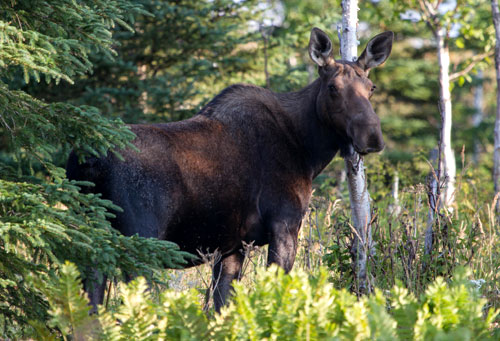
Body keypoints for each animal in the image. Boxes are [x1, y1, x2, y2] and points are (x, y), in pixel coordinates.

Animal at [66, 27, 392, 310]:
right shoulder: (284, 224)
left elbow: (222, 305)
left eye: (371, 87)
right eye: (333, 88)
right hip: (140, 238)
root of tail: (89, 160)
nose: (372, 136)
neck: (307, 151)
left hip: (92, 236)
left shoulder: (232, 245)